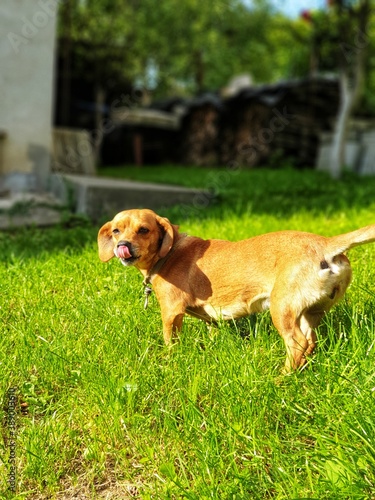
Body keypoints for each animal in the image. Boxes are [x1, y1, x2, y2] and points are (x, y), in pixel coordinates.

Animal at [97, 209, 375, 374]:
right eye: (116, 231)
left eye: (144, 230)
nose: (122, 246)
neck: (169, 253)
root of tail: (326, 244)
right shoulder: (211, 319)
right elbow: (212, 331)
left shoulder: (171, 312)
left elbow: (170, 342)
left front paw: (170, 360)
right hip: (310, 313)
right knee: (310, 343)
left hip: (281, 309)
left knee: (297, 344)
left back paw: (282, 378)